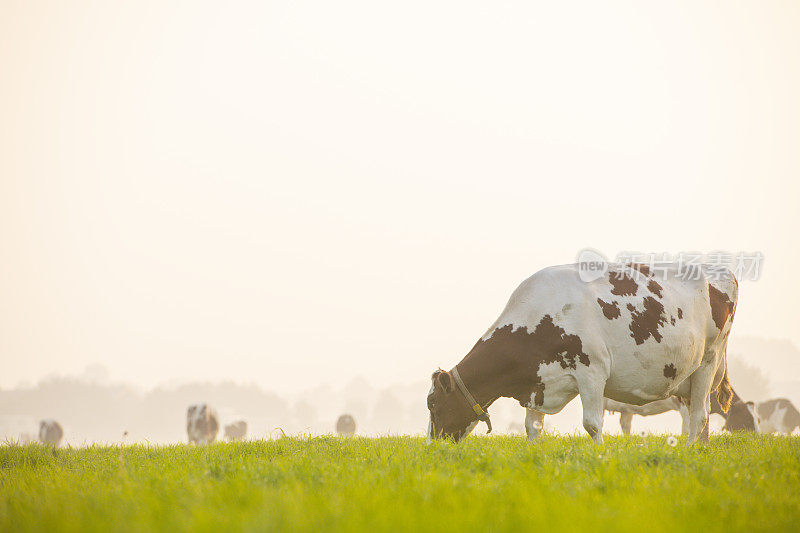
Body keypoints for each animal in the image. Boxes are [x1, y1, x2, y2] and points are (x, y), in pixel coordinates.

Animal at [432, 262, 736, 440]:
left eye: (432, 404)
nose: (434, 444)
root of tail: (719, 269)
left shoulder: (592, 371)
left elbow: (592, 423)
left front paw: (600, 455)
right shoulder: (538, 382)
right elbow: (533, 426)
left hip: (708, 362)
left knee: (699, 417)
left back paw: (692, 450)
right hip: (689, 379)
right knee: (699, 415)